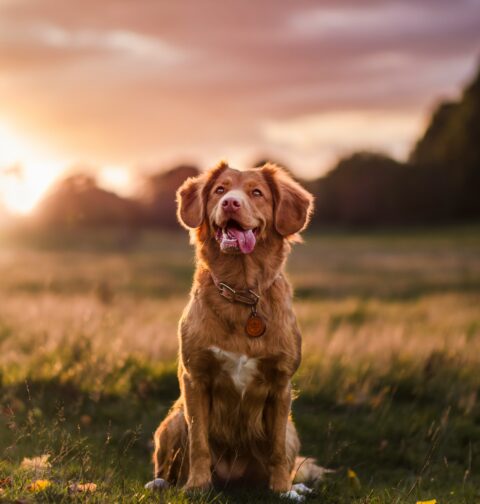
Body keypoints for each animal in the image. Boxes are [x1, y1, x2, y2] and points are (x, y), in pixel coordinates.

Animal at [146, 162, 322, 500]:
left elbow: (277, 450)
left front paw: (282, 490)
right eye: (219, 190)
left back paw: (296, 486)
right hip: (172, 421)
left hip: (292, 430)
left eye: (257, 192)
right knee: (167, 466)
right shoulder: (195, 378)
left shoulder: (281, 384)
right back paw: (161, 483)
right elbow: (199, 443)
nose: (230, 203)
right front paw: (197, 485)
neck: (242, 293)